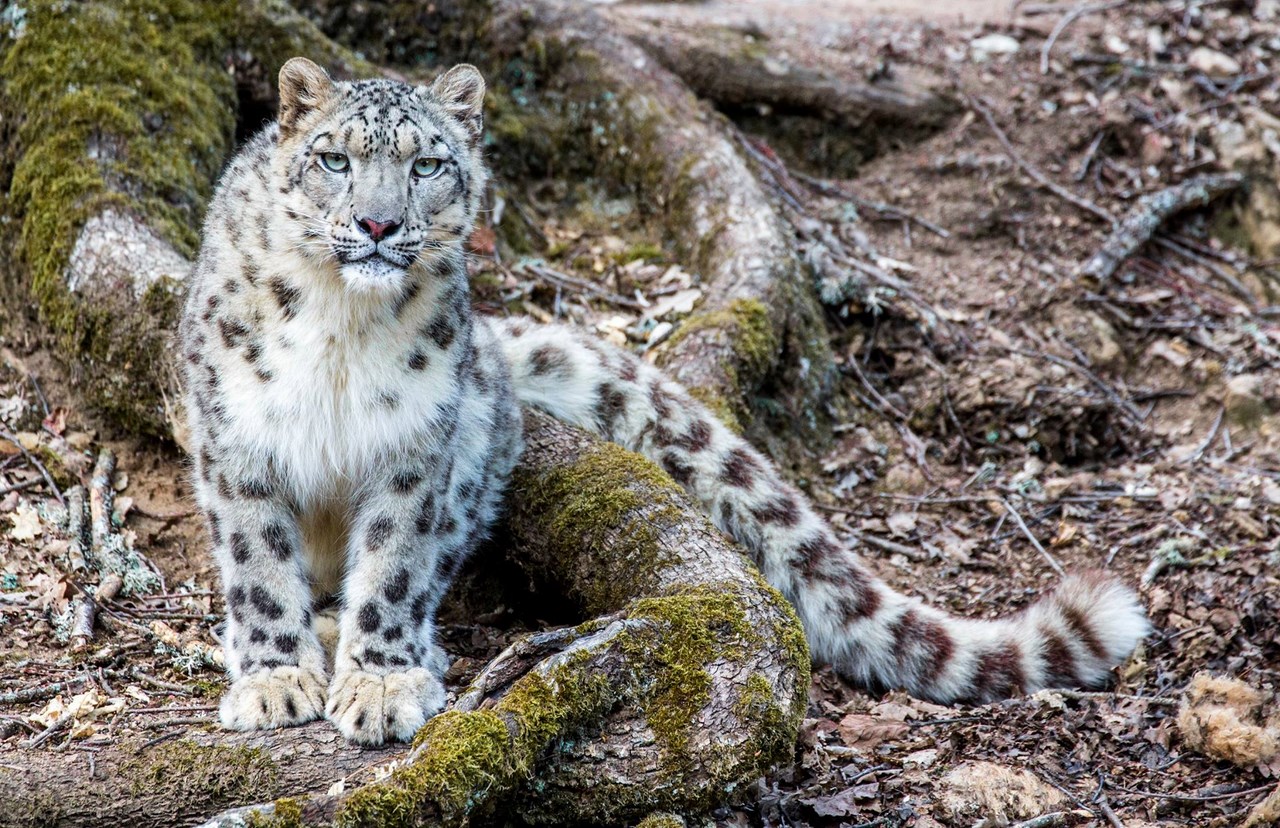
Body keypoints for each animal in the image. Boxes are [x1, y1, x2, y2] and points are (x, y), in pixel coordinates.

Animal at [180, 58, 1152, 747]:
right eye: (333, 158)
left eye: (427, 164)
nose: (379, 225)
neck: (342, 328)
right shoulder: (237, 439)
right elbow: (259, 564)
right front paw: (275, 680)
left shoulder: (414, 448)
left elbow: (394, 567)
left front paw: (380, 681)